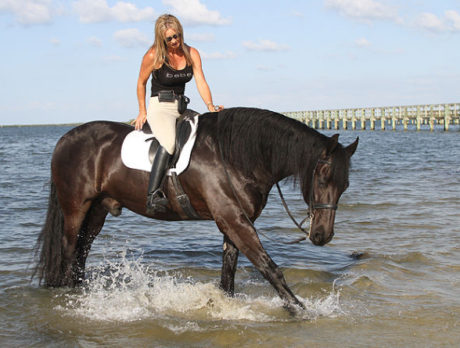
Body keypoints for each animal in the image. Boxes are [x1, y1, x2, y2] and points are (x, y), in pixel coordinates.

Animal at [36, 106, 360, 312]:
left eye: (345, 185)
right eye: (323, 178)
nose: (322, 235)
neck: (234, 156)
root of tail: (65, 139)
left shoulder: (234, 223)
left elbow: (228, 274)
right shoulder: (233, 220)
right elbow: (269, 267)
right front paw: (299, 309)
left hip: (97, 212)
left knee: (81, 254)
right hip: (75, 210)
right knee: (68, 254)